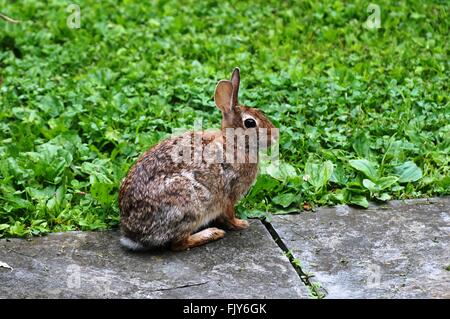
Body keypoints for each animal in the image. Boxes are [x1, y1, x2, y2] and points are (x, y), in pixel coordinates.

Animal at [118, 68, 278, 252]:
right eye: (250, 122)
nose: (275, 136)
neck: (232, 143)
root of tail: (133, 234)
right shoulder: (229, 193)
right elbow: (229, 214)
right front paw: (240, 224)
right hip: (190, 204)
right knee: (178, 244)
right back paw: (212, 233)